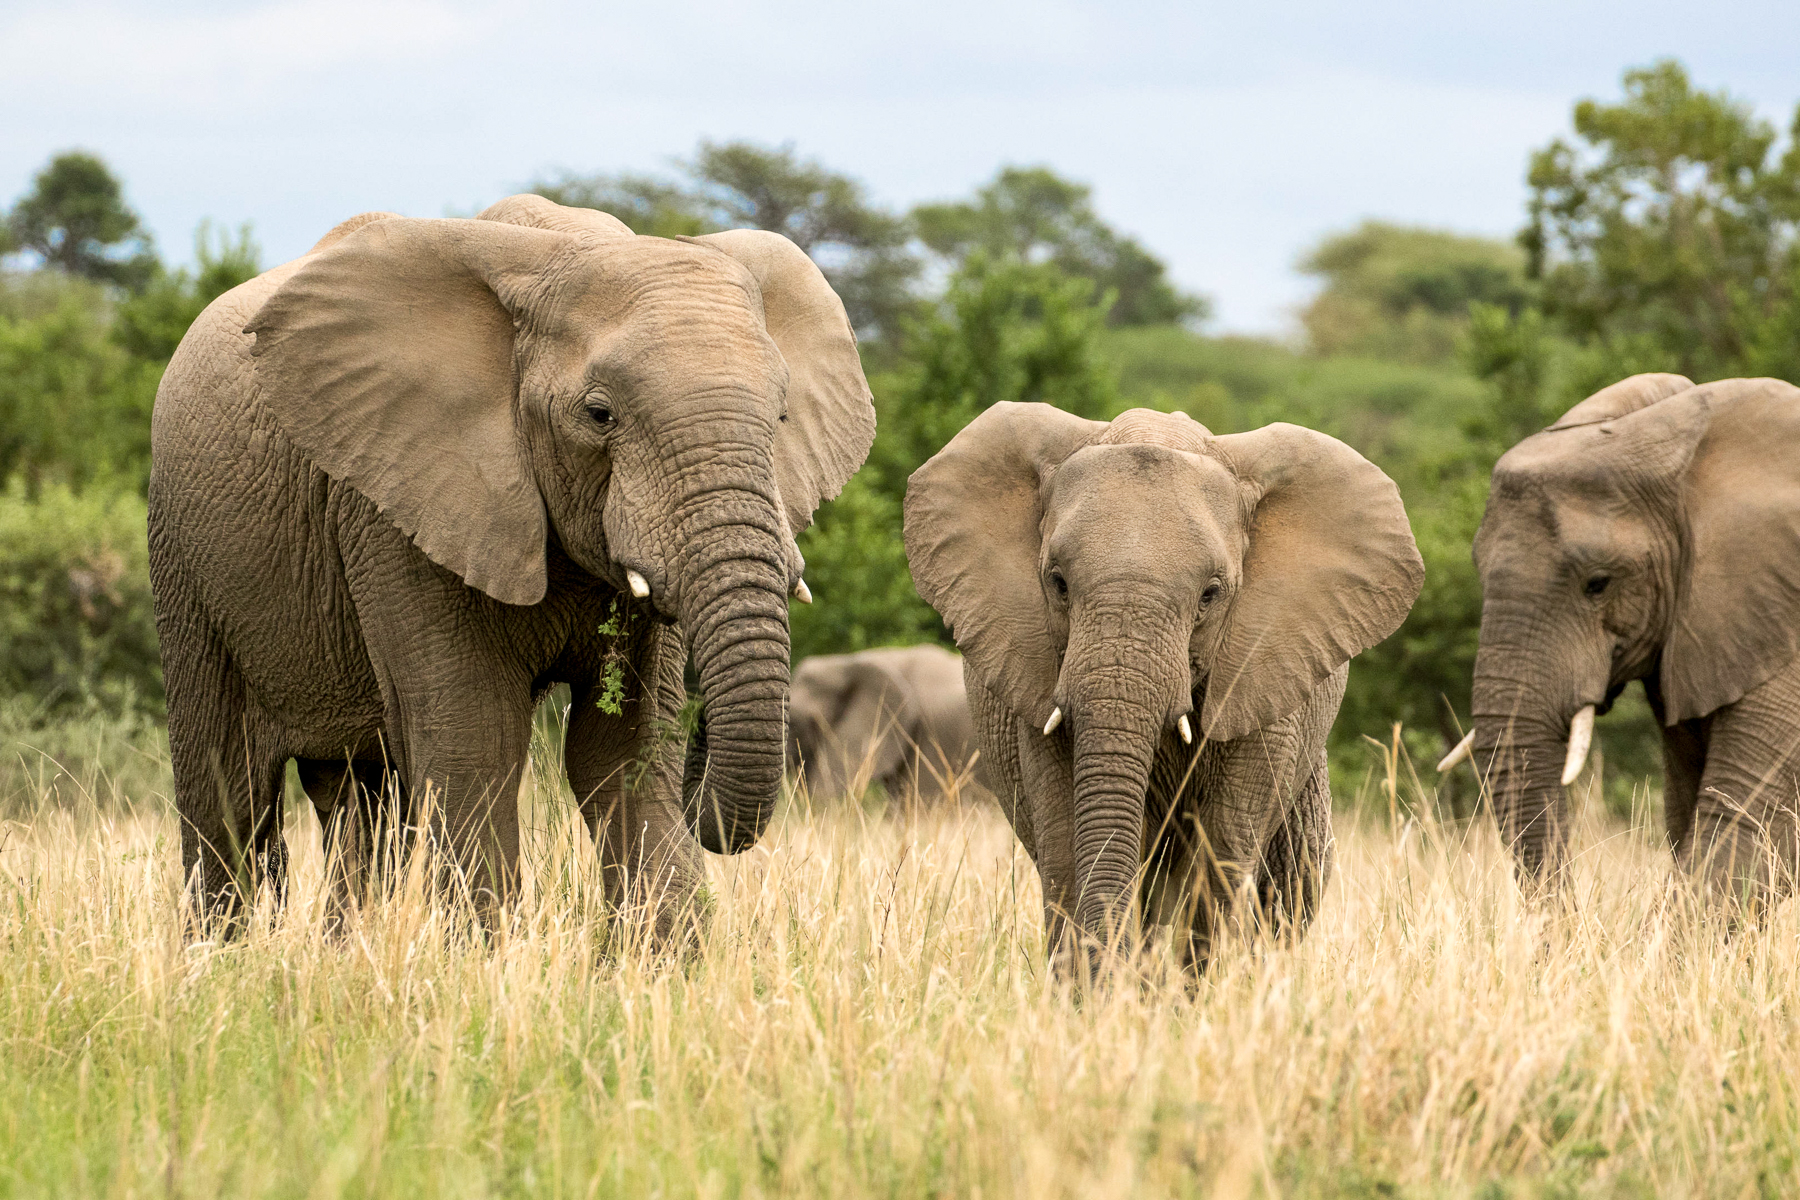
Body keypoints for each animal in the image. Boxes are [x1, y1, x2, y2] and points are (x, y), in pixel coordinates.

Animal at [148, 194, 874, 928]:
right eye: (600, 415)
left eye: (780, 418)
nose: (701, 736)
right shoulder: (397, 512)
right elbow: (478, 740)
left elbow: (624, 754)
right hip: (183, 557)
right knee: (228, 792)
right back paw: (219, 948)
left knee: (359, 799)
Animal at [904, 403, 1422, 971]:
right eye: (1057, 583)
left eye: (1211, 594)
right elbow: (1066, 842)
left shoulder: (1264, 671)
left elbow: (1220, 853)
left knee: (1288, 880)